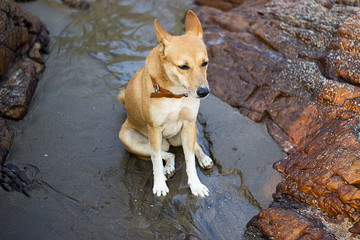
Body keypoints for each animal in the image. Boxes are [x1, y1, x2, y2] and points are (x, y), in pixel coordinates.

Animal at [118, 9, 214, 197]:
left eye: (204, 63)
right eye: (183, 66)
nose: (204, 92)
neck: (175, 95)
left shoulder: (189, 124)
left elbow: (190, 160)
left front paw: (196, 185)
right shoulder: (155, 131)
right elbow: (155, 160)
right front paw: (160, 185)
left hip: (183, 134)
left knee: (190, 146)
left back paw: (203, 158)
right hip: (132, 138)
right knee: (168, 153)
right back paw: (167, 169)